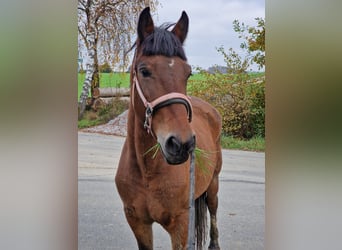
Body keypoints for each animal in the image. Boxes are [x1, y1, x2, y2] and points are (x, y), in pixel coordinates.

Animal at [115, 6, 222, 249]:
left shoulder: (180, 225)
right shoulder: (137, 222)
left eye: (188, 73)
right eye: (144, 71)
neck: (147, 172)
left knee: (213, 210)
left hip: (213, 184)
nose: (181, 143)